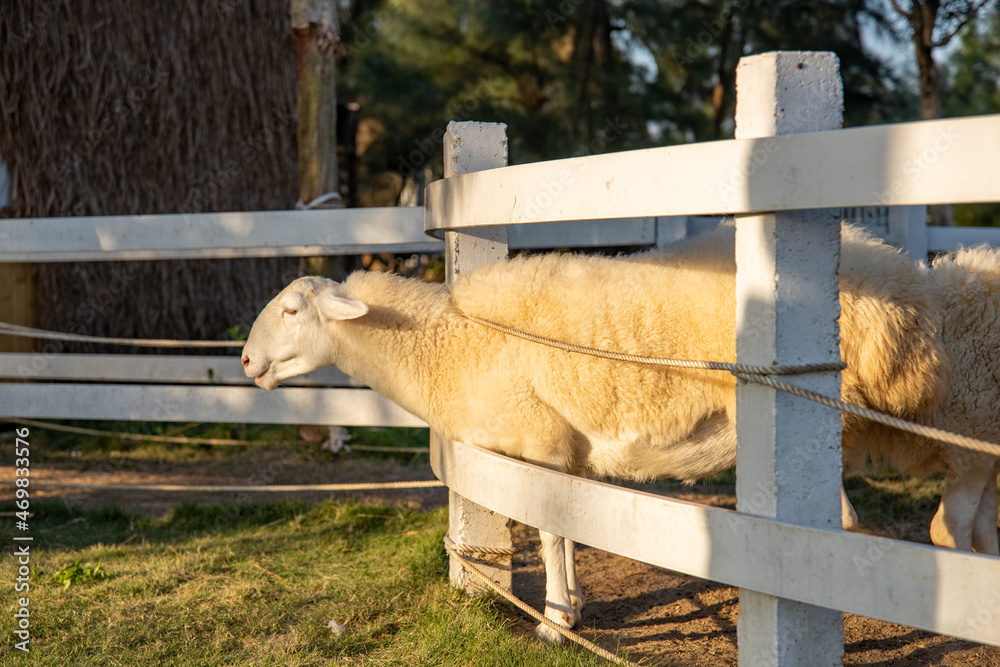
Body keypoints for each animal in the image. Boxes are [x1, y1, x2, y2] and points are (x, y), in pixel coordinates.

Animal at [244, 223, 952, 640]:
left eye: (291, 310)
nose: (247, 362)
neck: (452, 343)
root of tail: (897, 270)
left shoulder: (543, 447)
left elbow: (551, 530)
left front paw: (556, 623)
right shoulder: (559, 454)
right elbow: (569, 531)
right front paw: (572, 606)